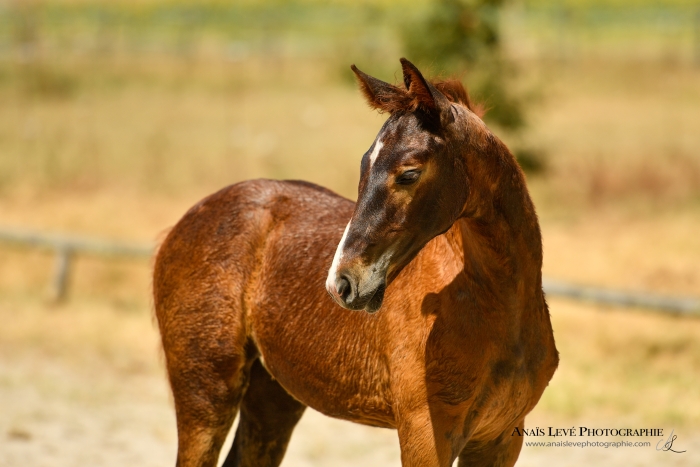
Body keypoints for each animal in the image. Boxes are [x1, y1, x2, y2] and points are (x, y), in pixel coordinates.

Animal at [153, 58, 556, 467]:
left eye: (409, 174)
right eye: (364, 165)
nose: (340, 284)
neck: (498, 310)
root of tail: (186, 220)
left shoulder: (499, 440)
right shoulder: (426, 436)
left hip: (273, 396)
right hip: (206, 393)